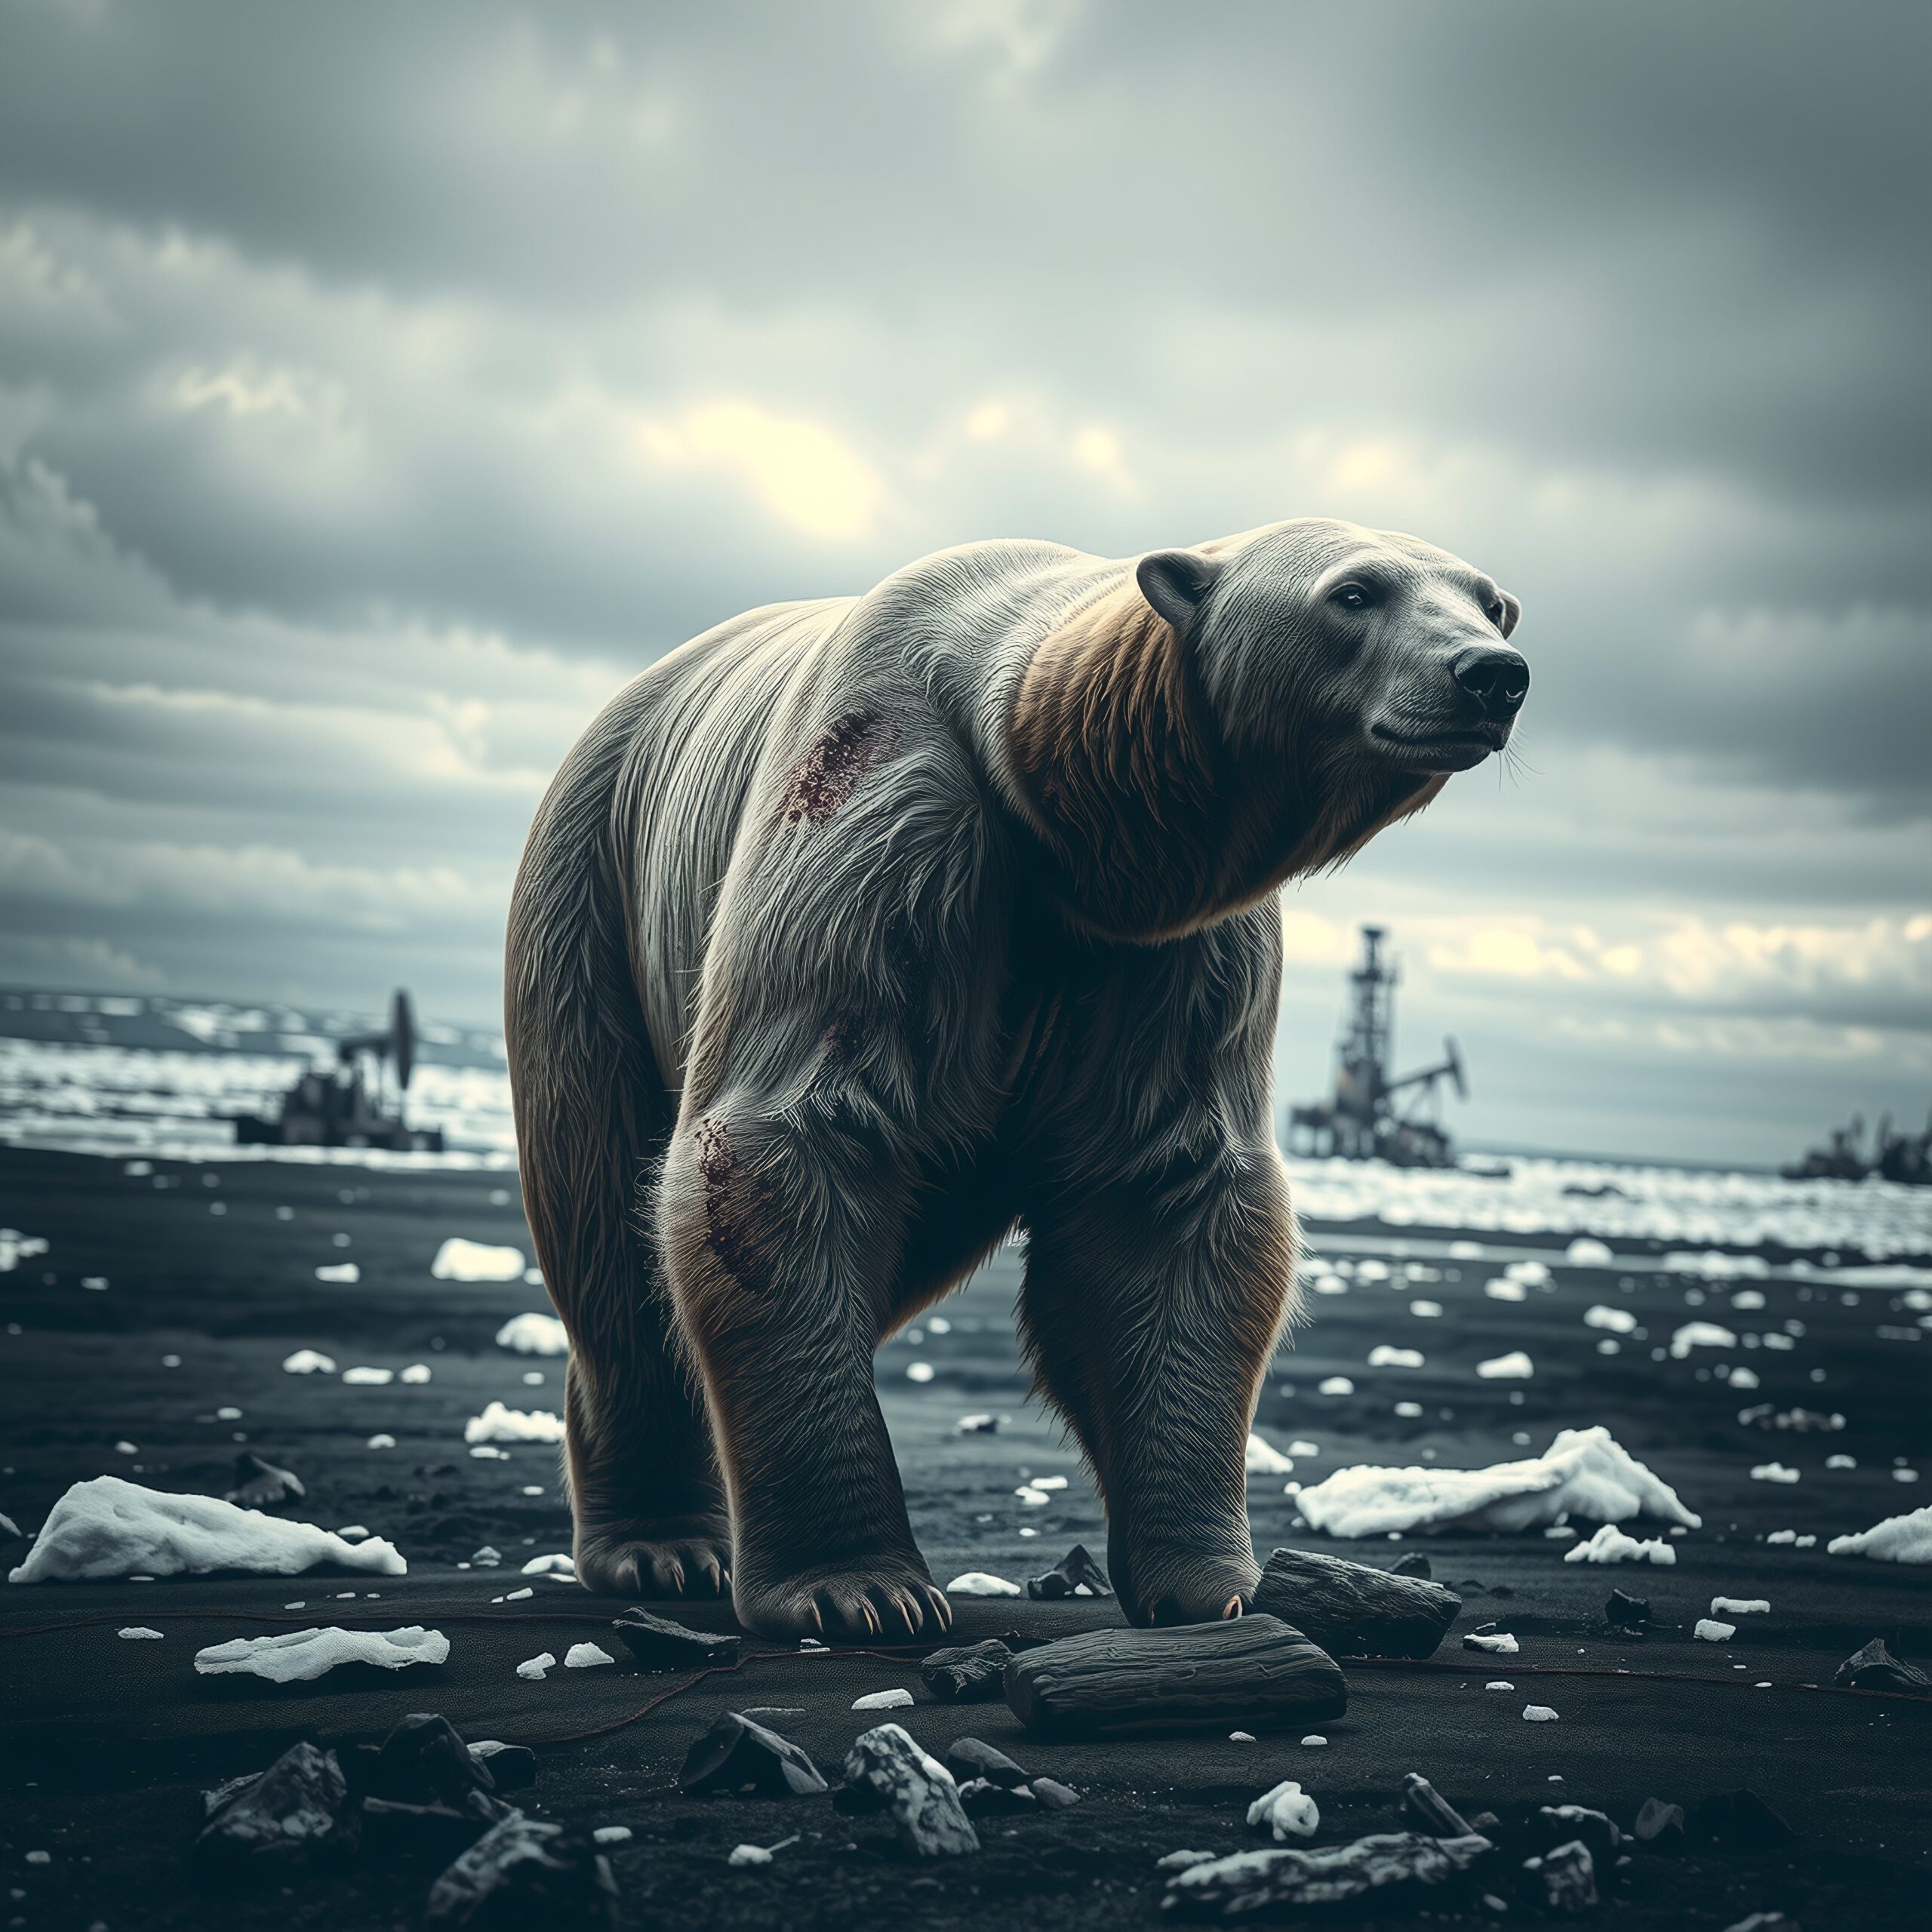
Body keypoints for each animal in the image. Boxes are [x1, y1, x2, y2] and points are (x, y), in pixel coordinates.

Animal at [505, 517, 1526, 1638]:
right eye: (1354, 592)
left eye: (1493, 600)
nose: (1490, 674)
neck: (1068, 816)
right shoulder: (887, 817)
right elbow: (793, 1138)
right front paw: (860, 1588)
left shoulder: (1171, 952)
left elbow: (1165, 1197)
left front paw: (1212, 1583)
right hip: (592, 902)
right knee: (603, 1208)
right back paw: (660, 1543)